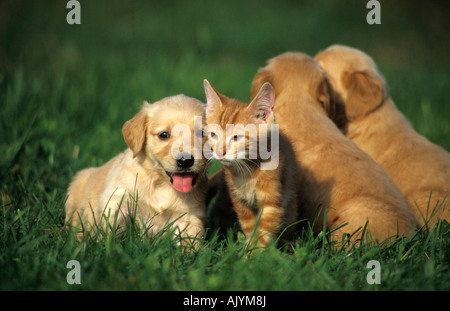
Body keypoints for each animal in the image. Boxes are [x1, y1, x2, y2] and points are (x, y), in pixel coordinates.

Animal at [64, 95, 207, 244]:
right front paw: (107, 245)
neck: (161, 183)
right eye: (164, 135)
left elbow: (191, 240)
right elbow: (111, 227)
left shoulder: (190, 216)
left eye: (201, 133)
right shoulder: (118, 198)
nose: (185, 161)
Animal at [204, 79, 298, 247]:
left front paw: (256, 252)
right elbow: (249, 226)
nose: (220, 152)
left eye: (236, 138)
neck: (248, 169)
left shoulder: (271, 200)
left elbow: (265, 230)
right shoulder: (239, 199)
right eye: (213, 135)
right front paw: (249, 247)